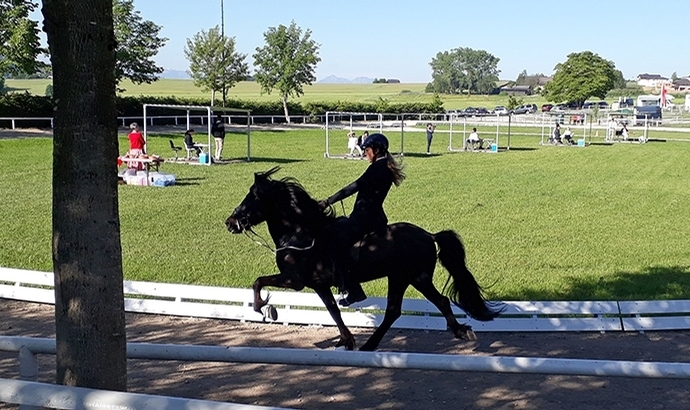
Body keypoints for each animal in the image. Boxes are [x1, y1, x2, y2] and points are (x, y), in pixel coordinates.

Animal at [226, 168, 500, 350]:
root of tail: (427, 234)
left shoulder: (295, 280)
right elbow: (333, 310)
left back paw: (371, 344)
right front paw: (346, 339)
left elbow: (258, 281)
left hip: (402, 277)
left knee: (395, 310)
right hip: (417, 278)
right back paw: (460, 331)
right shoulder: (319, 285)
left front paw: (264, 308)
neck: (299, 233)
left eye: (252, 197)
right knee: (439, 301)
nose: (230, 222)